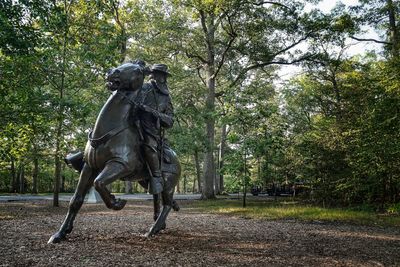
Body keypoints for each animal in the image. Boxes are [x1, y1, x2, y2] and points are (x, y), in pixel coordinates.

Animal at [48, 61, 181, 245]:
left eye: (138, 69)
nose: (112, 71)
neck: (110, 130)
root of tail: (175, 157)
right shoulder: (89, 167)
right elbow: (76, 200)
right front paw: (60, 234)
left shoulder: (119, 165)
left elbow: (99, 183)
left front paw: (116, 202)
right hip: (146, 181)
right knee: (158, 196)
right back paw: (159, 225)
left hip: (168, 183)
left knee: (166, 204)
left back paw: (152, 230)